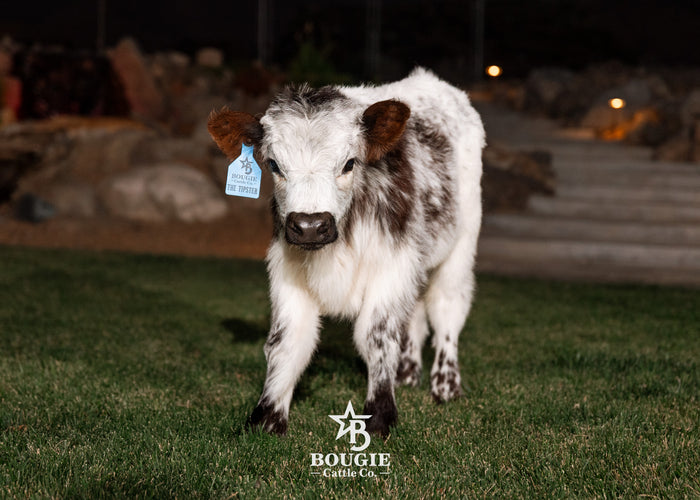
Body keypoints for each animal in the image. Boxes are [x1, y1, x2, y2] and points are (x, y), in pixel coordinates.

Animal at [208, 68, 485, 437]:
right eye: (274, 165)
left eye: (350, 163)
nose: (310, 225)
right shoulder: (287, 270)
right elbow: (286, 341)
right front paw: (267, 416)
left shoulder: (392, 266)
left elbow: (376, 334)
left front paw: (380, 415)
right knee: (415, 312)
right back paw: (407, 373)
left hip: (461, 244)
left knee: (446, 309)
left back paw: (445, 384)